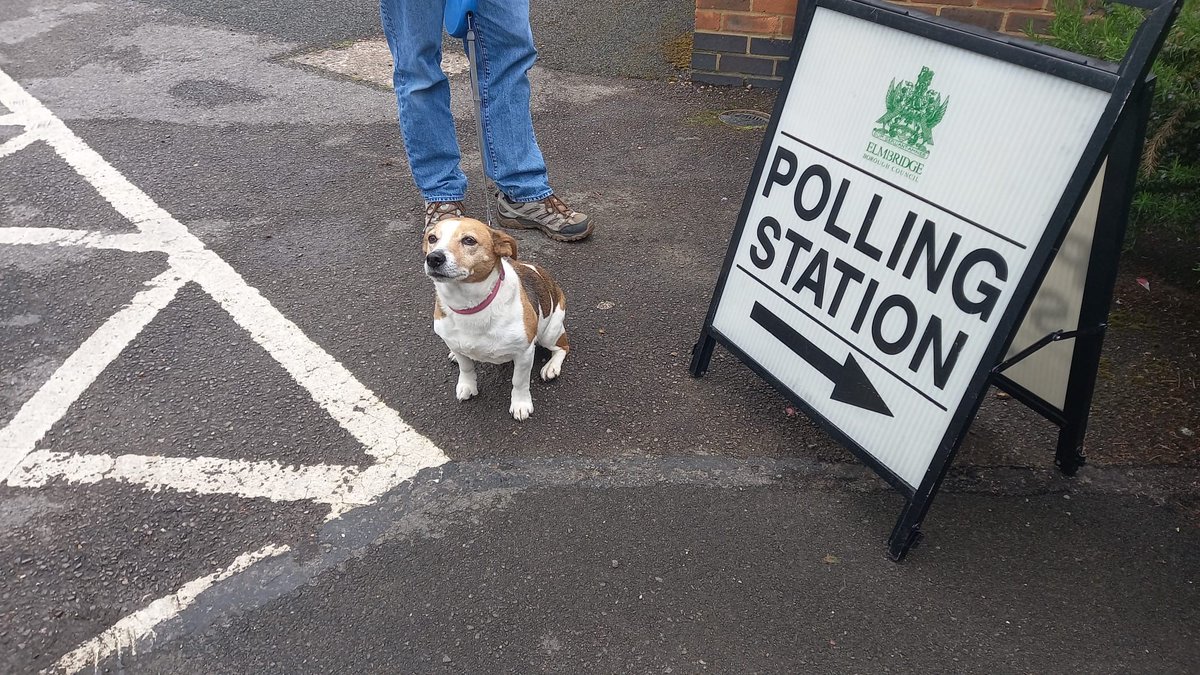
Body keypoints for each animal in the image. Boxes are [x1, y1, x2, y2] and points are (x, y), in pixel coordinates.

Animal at [422, 214, 571, 417]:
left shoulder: (524, 353)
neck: (470, 306)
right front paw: (467, 386)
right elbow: (466, 367)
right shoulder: (456, 344)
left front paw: (520, 404)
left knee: (562, 347)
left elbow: (519, 382)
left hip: (550, 333)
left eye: (469, 240)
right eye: (432, 238)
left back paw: (552, 367)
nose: (433, 258)